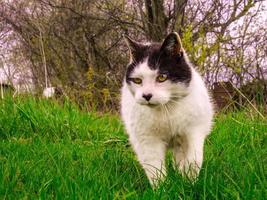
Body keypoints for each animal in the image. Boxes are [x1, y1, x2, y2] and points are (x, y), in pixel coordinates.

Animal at [121, 32, 214, 186]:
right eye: (137, 80)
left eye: (162, 77)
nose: (146, 95)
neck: (166, 109)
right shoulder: (146, 139)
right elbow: (154, 167)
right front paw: (162, 188)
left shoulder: (194, 129)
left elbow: (194, 158)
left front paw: (188, 181)